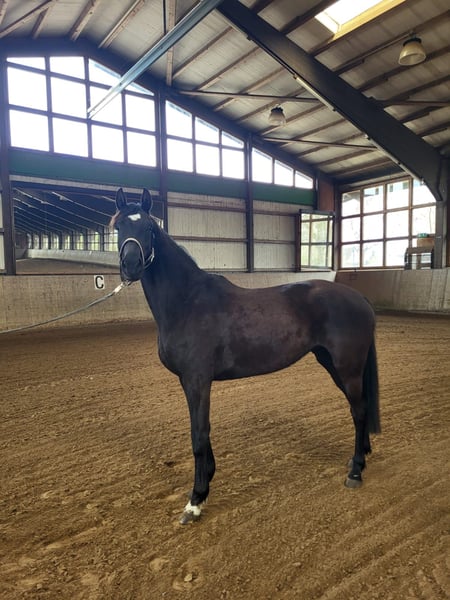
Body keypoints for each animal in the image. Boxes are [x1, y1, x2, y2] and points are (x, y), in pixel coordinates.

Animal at [111, 188, 380, 524]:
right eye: (119, 226)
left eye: (148, 228)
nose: (131, 265)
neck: (187, 301)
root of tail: (360, 298)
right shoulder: (191, 382)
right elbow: (202, 432)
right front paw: (207, 481)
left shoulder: (197, 380)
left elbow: (198, 435)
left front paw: (195, 500)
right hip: (332, 363)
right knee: (362, 407)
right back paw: (361, 457)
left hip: (348, 366)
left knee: (358, 410)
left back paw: (356, 471)